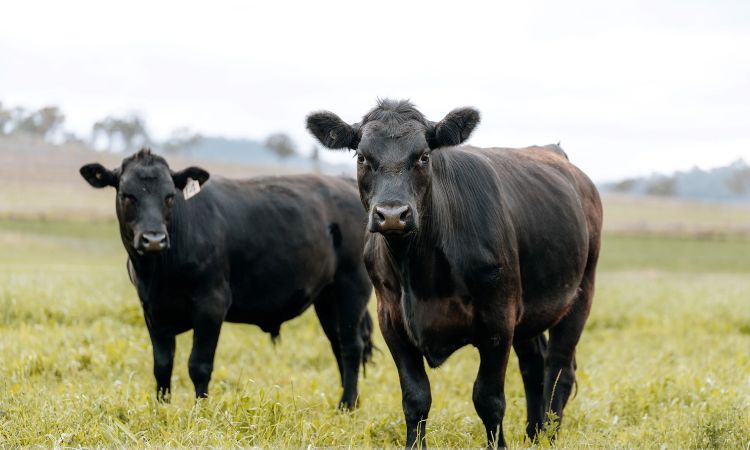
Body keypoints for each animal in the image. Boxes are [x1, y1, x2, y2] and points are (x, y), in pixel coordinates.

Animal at [80, 149, 373, 408]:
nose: (153, 239)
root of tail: (346, 183)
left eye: (169, 196)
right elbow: (162, 365)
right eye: (127, 195)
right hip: (327, 297)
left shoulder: (212, 304)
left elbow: (198, 365)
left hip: (352, 287)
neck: (158, 273)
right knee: (338, 344)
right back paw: (352, 402)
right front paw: (161, 408)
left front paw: (201, 411)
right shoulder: (152, 310)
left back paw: (346, 405)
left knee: (351, 346)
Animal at [307, 99, 602, 448]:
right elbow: (415, 397)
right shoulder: (391, 319)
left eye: (423, 156)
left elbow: (488, 398)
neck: (420, 274)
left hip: (580, 293)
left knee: (558, 370)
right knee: (534, 366)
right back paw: (533, 432)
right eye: (363, 157)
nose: (392, 214)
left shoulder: (498, 319)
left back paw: (549, 436)